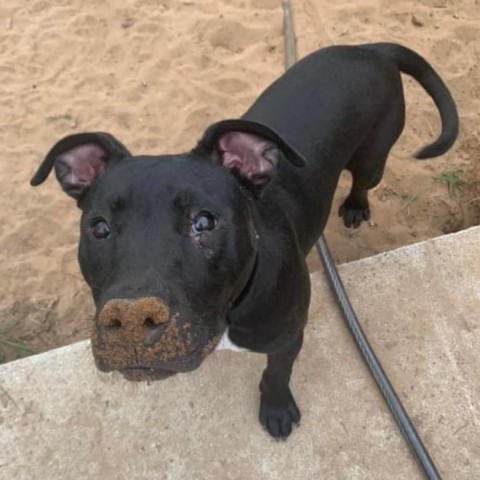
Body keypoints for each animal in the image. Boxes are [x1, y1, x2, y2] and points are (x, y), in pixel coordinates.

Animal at [31, 44, 460, 438]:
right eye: (99, 228)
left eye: (205, 221)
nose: (132, 321)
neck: (230, 311)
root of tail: (370, 48)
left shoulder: (288, 337)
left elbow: (277, 373)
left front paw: (276, 409)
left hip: (372, 157)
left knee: (363, 179)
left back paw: (356, 206)